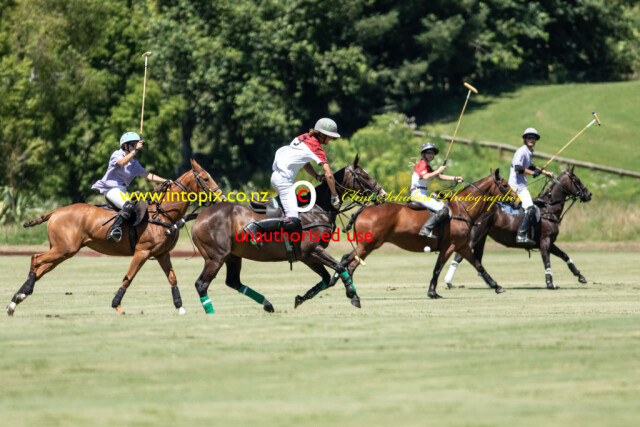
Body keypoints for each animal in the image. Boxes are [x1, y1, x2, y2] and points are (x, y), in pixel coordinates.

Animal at [6, 159, 223, 316]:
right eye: (205, 179)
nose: (221, 198)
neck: (162, 214)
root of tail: (54, 212)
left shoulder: (162, 254)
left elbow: (172, 278)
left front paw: (180, 306)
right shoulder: (142, 251)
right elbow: (129, 277)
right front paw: (116, 305)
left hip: (63, 251)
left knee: (40, 268)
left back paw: (17, 299)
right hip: (64, 248)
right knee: (35, 259)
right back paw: (19, 296)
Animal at [189, 155, 387, 313]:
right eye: (364, 176)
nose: (382, 194)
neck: (316, 208)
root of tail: (200, 216)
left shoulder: (307, 256)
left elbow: (326, 278)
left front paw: (300, 298)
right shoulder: (313, 250)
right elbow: (339, 267)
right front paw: (353, 295)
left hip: (233, 256)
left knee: (232, 282)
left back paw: (267, 304)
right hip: (215, 257)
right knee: (201, 284)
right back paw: (211, 313)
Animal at [294, 169, 515, 306]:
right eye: (504, 184)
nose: (518, 201)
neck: (462, 209)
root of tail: (363, 209)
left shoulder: (462, 246)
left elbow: (479, 265)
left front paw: (497, 286)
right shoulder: (450, 246)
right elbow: (437, 268)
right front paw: (432, 293)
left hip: (368, 246)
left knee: (350, 262)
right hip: (369, 244)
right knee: (347, 260)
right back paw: (342, 285)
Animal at [444, 166, 592, 290]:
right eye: (577, 180)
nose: (589, 194)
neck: (548, 209)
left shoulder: (550, 242)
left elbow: (565, 255)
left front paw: (580, 276)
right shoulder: (545, 241)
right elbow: (547, 261)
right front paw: (550, 283)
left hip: (481, 238)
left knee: (476, 259)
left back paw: (489, 283)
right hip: (475, 236)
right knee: (459, 256)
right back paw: (449, 282)